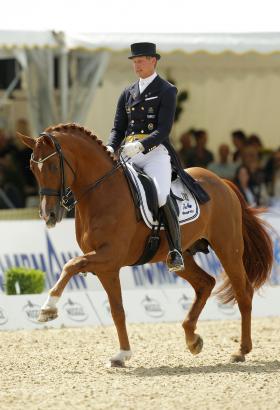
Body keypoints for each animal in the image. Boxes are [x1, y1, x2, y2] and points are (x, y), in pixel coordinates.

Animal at [16, 123, 272, 366]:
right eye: (32, 169)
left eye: (51, 167)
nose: (48, 215)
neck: (102, 193)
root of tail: (222, 182)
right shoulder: (105, 267)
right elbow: (117, 310)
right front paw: (122, 354)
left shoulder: (108, 256)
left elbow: (70, 265)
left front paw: (47, 309)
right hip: (181, 255)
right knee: (205, 283)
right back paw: (192, 339)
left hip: (228, 248)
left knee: (243, 293)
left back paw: (240, 351)